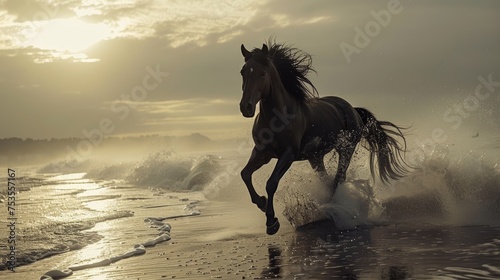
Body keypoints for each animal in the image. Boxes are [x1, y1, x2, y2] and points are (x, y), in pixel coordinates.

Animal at [239, 41, 410, 234]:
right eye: (243, 71)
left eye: (262, 73)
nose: (246, 107)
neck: (276, 118)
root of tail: (352, 109)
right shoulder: (262, 153)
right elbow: (245, 174)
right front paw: (262, 202)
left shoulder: (288, 154)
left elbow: (271, 182)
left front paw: (272, 222)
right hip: (315, 157)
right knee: (328, 181)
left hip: (345, 149)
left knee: (337, 179)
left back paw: (335, 212)